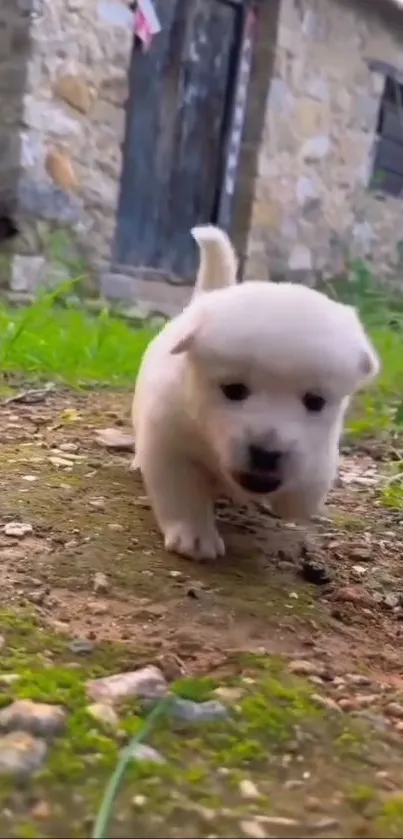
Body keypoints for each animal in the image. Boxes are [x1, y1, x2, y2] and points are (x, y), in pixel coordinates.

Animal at [128, 226, 380, 560]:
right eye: (233, 390)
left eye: (315, 401)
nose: (266, 453)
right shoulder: (169, 442)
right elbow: (182, 494)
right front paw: (195, 536)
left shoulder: (320, 448)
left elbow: (311, 481)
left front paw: (297, 502)